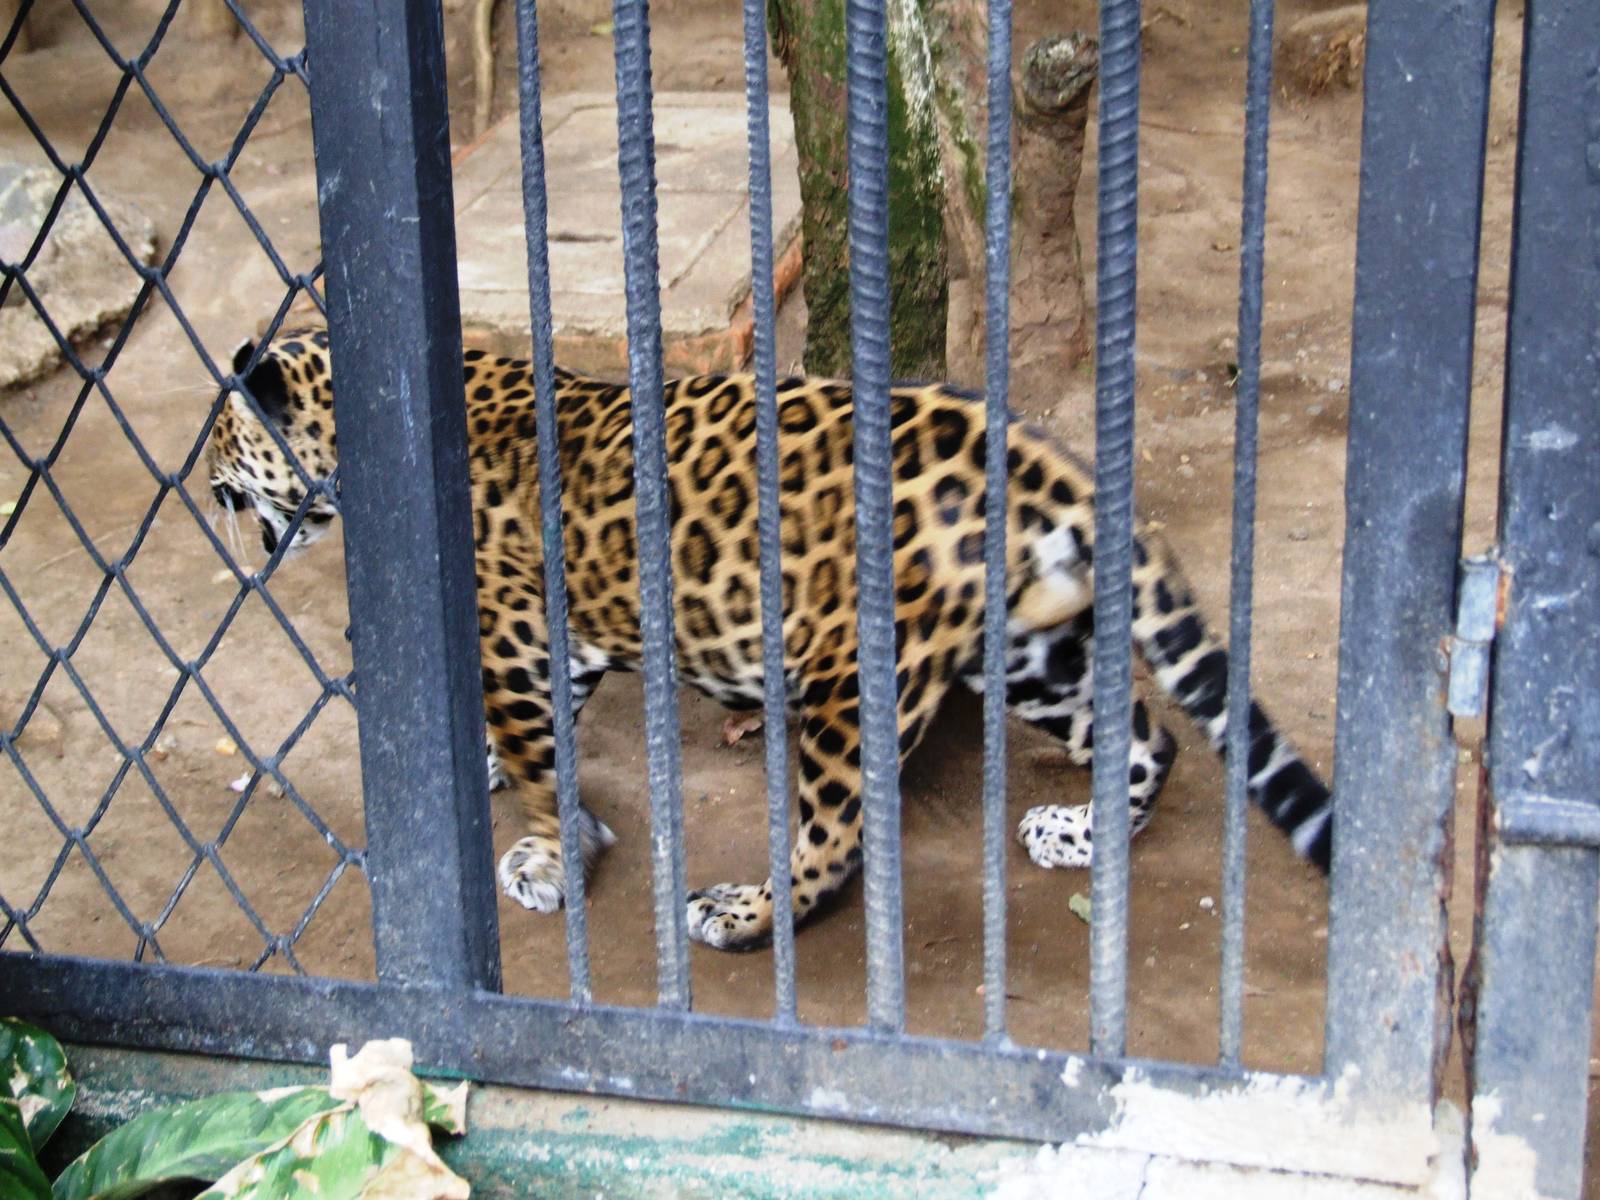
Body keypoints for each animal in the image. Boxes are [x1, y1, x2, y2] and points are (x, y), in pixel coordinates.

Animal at [207, 328, 1333, 952]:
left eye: (223, 477)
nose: (218, 523)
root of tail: (1039, 463)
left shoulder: (518, 638)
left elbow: (541, 760)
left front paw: (549, 855)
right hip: (1023, 654)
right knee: (1146, 734)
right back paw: (1082, 833)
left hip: (850, 682)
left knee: (834, 843)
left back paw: (746, 914)